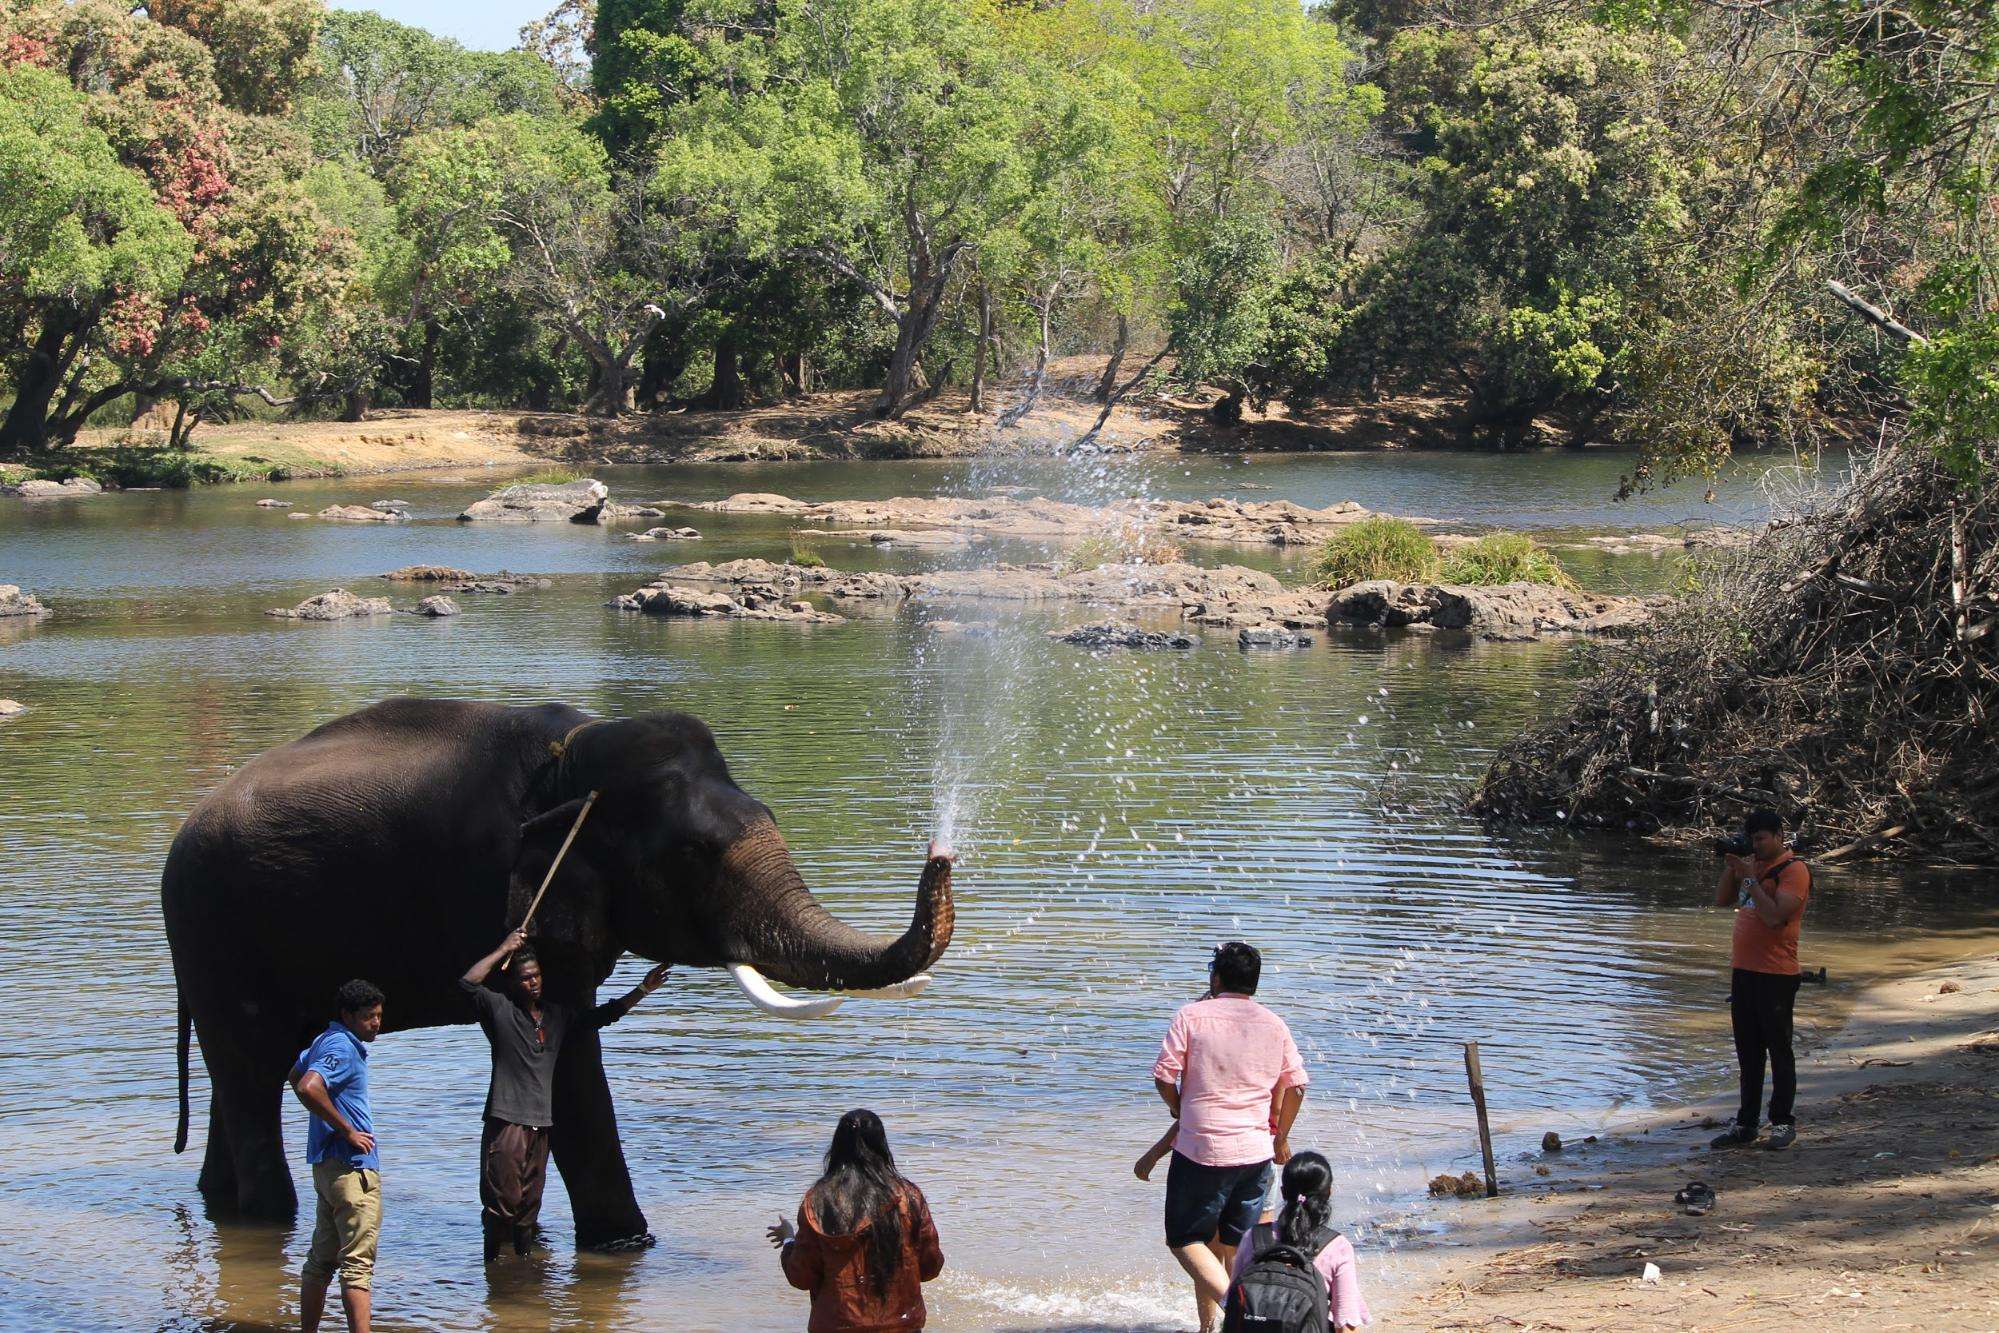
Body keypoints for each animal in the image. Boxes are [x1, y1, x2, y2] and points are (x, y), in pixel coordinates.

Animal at [162, 697, 954, 1246]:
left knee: (248, 1074)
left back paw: (221, 1205)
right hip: (212, 932)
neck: (572, 757)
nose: (939, 854)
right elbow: (568, 1063)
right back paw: (269, 1218)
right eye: (694, 854)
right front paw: (627, 1243)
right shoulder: (496, 890)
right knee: (250, 1070)